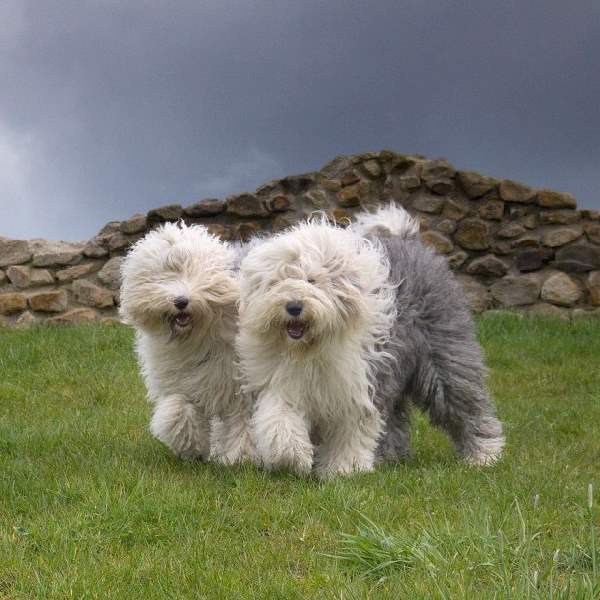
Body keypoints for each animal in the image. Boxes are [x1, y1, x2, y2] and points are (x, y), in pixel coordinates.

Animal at [119, 221, 255, 464]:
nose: (180, 301)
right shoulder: (182, 379)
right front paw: (190, 445)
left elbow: (243, 418)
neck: (197, 337)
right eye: (164, 275)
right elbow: (179, 407)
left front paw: (240, 457)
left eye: (194, 271)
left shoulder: (239, 383)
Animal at [237, 220, 396, 478]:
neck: (309, 350)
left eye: (312, 280)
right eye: (278, 281)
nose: (294, 306)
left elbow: (352, 430)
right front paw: (294, 457)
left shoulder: (355, 388)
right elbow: (280, 418)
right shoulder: (283, 383)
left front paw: (343, 468)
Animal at [354, 204, 504, 466]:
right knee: (392, 415)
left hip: (445, 359)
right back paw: (389, 457)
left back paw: (484, 455)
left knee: (465, 405)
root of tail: (405, 239)